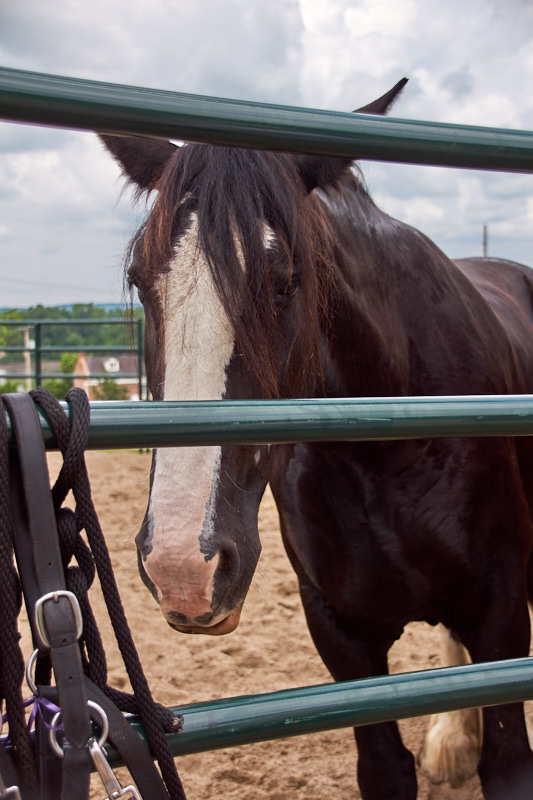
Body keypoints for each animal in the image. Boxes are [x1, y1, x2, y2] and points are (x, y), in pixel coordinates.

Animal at [100, 80, 533, 799]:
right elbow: (384, 769)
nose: (182, 568)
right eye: (139, 280)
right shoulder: (340, 635)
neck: (387, 443)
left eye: (283, 281)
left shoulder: (499, 612)